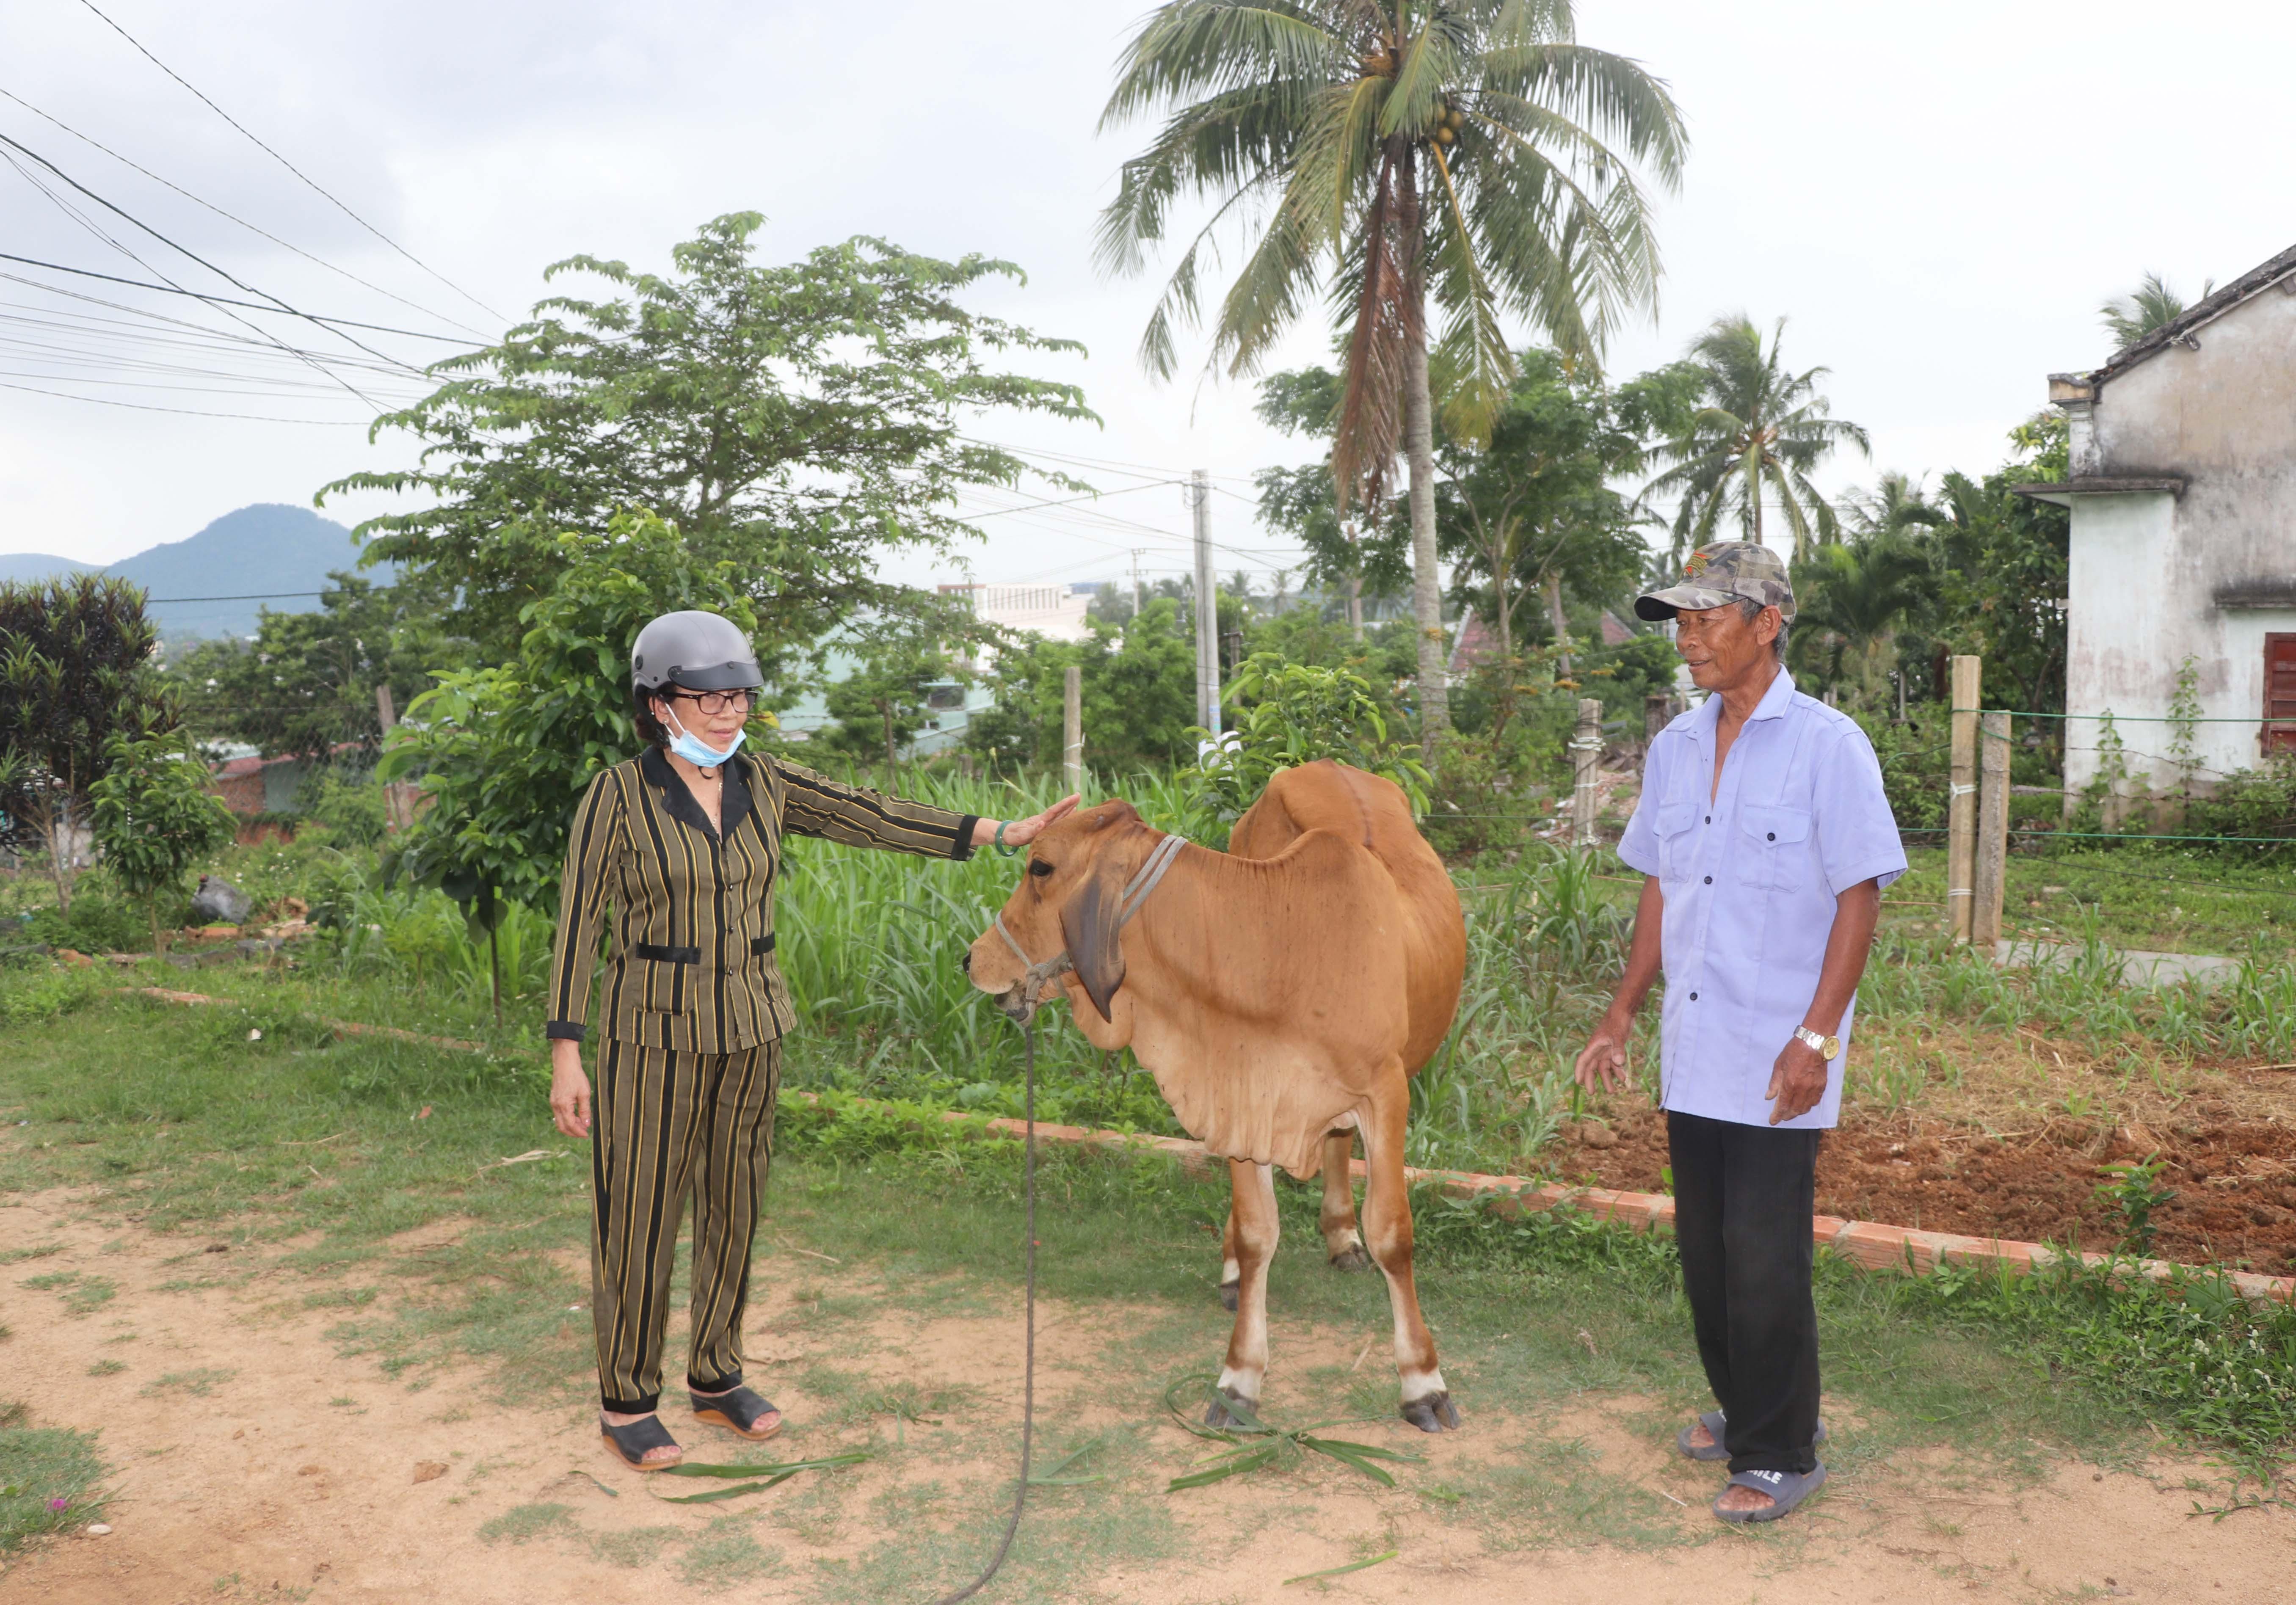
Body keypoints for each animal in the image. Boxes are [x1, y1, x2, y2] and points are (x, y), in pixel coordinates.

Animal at [960, 762, 1460, 1433]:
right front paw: (1240, 1378)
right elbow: (1256, 1234)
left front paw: (1422, 1383)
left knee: (1338, 1143)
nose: (971, 959)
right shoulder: (1238, 1094)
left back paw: (1341, 1237)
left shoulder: (1387, 1094)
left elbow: (1393, 1233)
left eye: (1040, 867)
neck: (1278, 948)